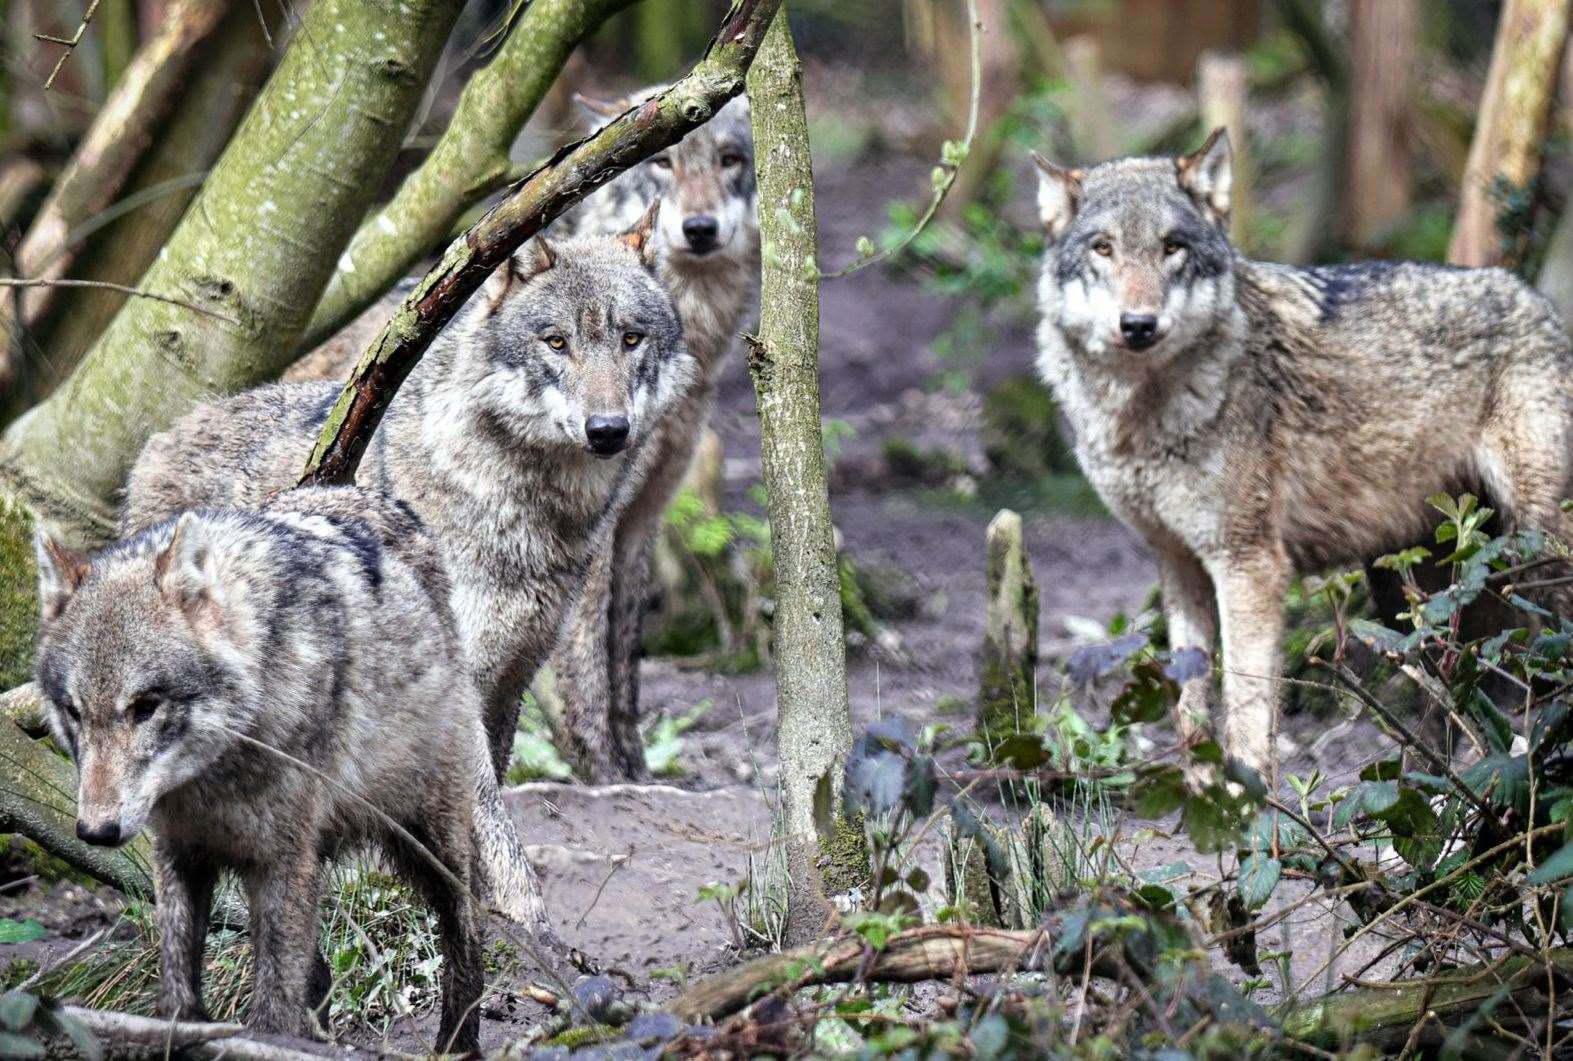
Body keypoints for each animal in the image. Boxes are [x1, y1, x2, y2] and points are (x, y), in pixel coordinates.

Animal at [34, 487, 488, 1050]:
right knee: (319, 974)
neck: (215, 776)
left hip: (429, 841)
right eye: (74, 712)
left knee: (467, 934)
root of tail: (380, 496)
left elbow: (272, 1012)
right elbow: (176, 983)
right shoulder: (180, 853)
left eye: (145, 706)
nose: (96, 832)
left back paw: (456, 1045)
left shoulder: (281, 859)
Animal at [1032, 129, 1573, 783]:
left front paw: (1245, 797)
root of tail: (1540, 301)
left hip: (1535, 545)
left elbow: (1244, 705)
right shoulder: (1179, 564)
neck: (1145, 415)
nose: (1138, 324)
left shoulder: (1249, 564)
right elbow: (1191, 709)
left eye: (1172, 247)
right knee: (1462, 687)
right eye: (1104, 248)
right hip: (1416, 583)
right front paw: (1199, 793)